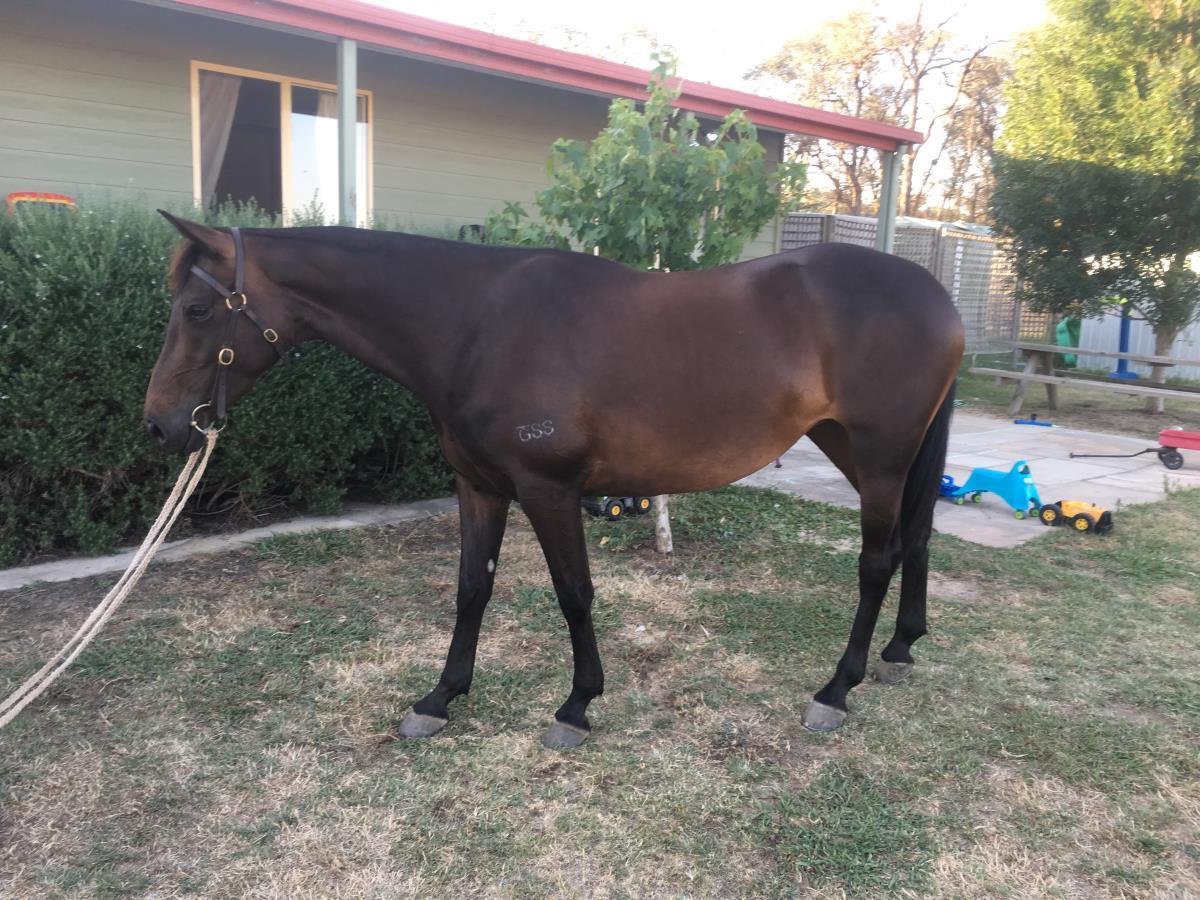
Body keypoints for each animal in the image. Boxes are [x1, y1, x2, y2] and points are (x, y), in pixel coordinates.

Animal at [144, 213, 963, 748]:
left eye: (196, 308)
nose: (160, 426)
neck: (476, 322)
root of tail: (938, 296)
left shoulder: (549, 490)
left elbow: (574, 594)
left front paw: (577, 705)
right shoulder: (479, 487)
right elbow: (471, 589)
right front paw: (440, 698)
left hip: (880, 457)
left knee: (877, 560)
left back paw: (836, 689)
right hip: (861, 451)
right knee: (918, 538)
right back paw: (900, 651)